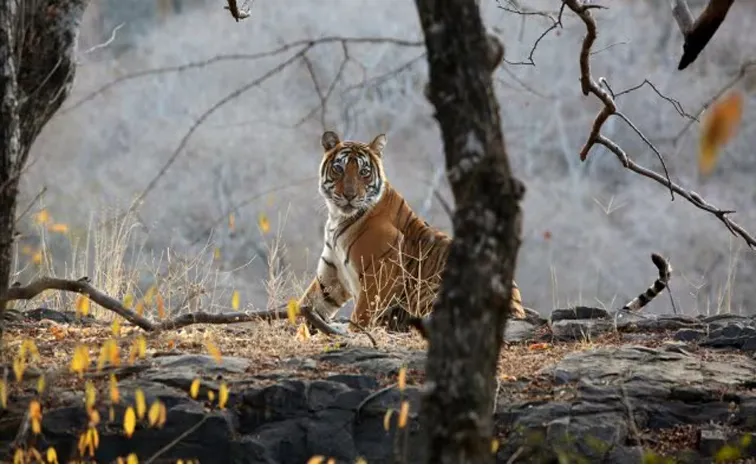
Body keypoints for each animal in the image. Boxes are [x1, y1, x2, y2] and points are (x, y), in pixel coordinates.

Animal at [296, 130, 524, 330]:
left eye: (364, 172)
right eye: (339, 169)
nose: (349, 195)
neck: (338, 217)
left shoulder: (380, 274)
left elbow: (362, 315)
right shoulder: (332, 275)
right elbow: (307, 304)